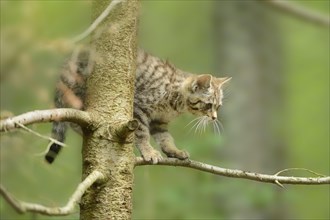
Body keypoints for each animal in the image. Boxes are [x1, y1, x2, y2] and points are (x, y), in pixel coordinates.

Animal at [45, 49, 231, 164]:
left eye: (218, 107)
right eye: (208, 105)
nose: (214, 117)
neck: (175, 103)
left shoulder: (159, 121)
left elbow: (166, 138)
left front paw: (174, 151)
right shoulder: (139, 109)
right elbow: (142, 134)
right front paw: (149, 152)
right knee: (75, 120)